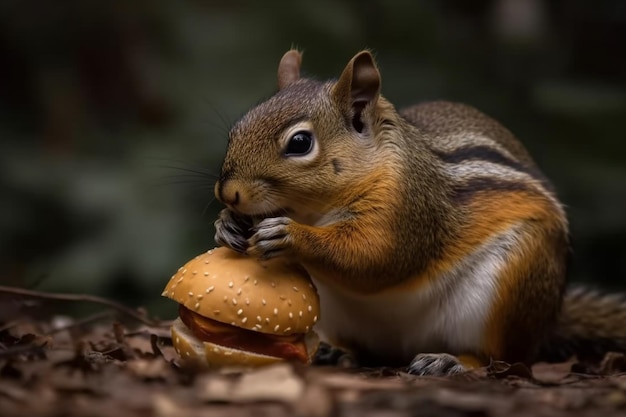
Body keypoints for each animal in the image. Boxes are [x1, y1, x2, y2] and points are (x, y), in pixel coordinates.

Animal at [211, 48, 624, 374]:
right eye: (237, 129)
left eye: (299, 142)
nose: (229, 193)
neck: (315, 209)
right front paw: (226, 225)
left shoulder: (409, 206)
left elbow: (376, 258)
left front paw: (292, 236)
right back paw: (336, 351)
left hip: (513, 283)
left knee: (502, 357)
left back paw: (451, 361)